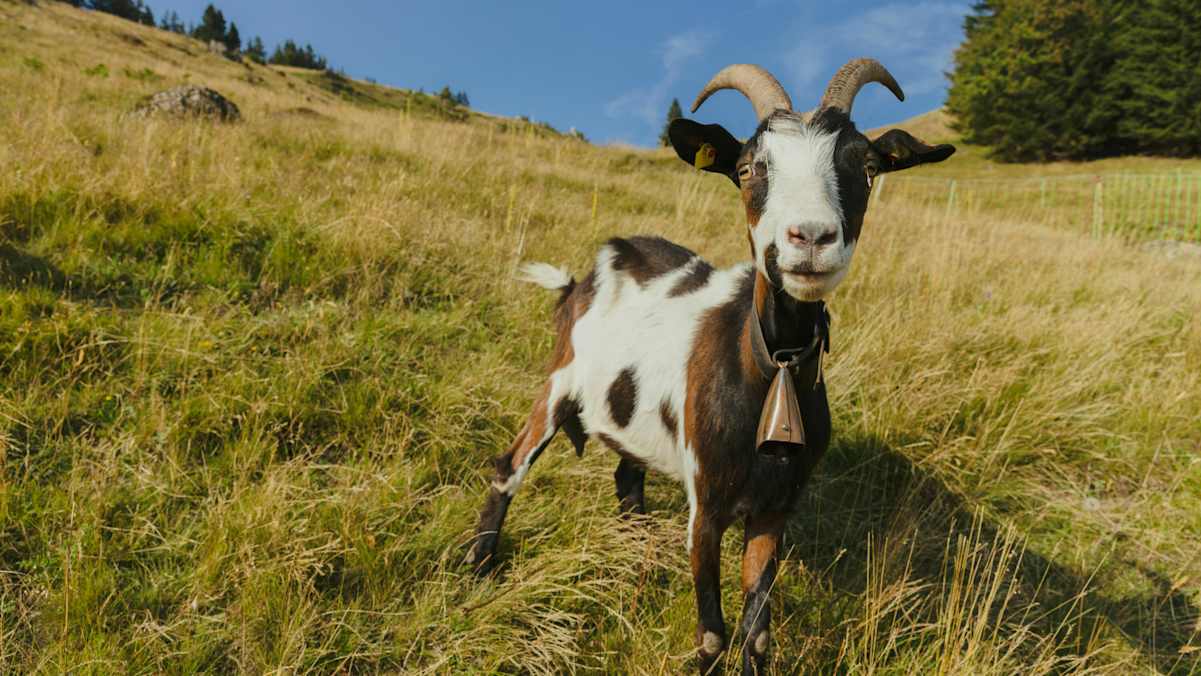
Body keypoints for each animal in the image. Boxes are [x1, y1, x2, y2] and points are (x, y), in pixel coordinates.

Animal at [466, 59, 955, 673]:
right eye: (748, 168)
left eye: (866, 168)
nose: (811, 238)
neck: (766, 370)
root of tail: (587, 274)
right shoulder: (707, 504)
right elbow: (713, 634)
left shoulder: (776, 507)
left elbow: (757, 631)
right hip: (560, 380)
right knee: (511, 464)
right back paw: (480, 567)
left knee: (627, 479)